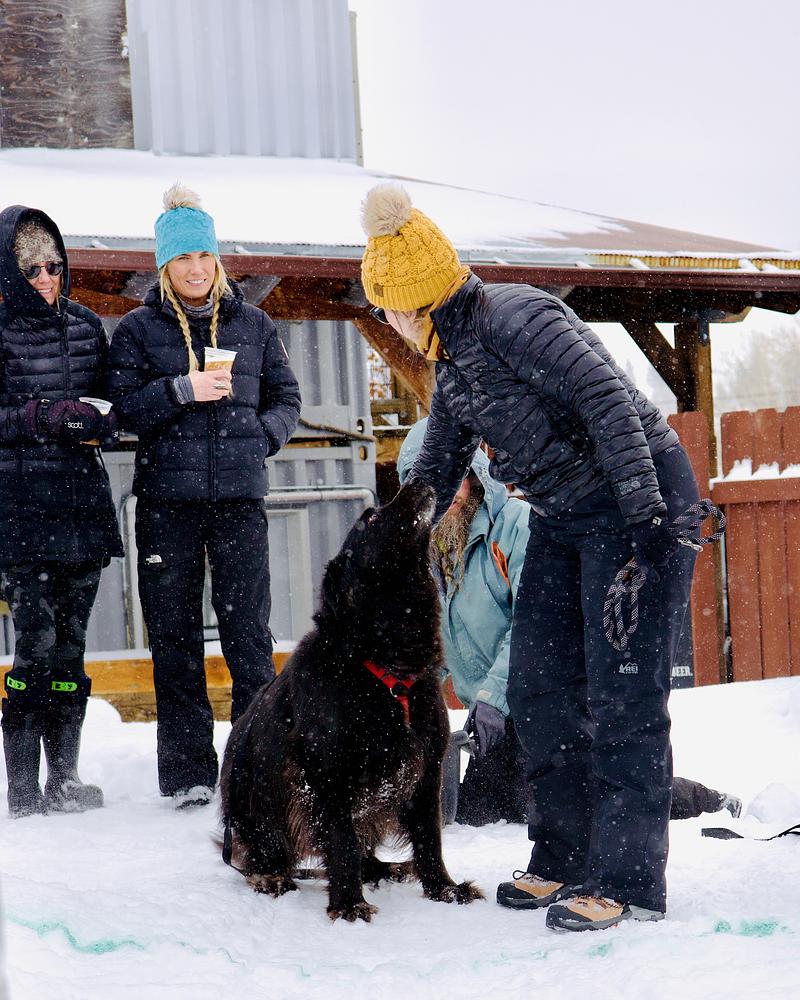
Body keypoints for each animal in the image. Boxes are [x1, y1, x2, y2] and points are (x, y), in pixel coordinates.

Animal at [219, 478, 483, 922]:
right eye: (371, 519)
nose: (418, 481)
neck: (383, 667)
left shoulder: (426, 766)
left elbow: (430, 836)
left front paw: (444, 890)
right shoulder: (328, 774)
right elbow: (341, 842)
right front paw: (348, 904)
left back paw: (383, 869)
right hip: (258, 799)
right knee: (265, 854)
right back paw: (272, 877)